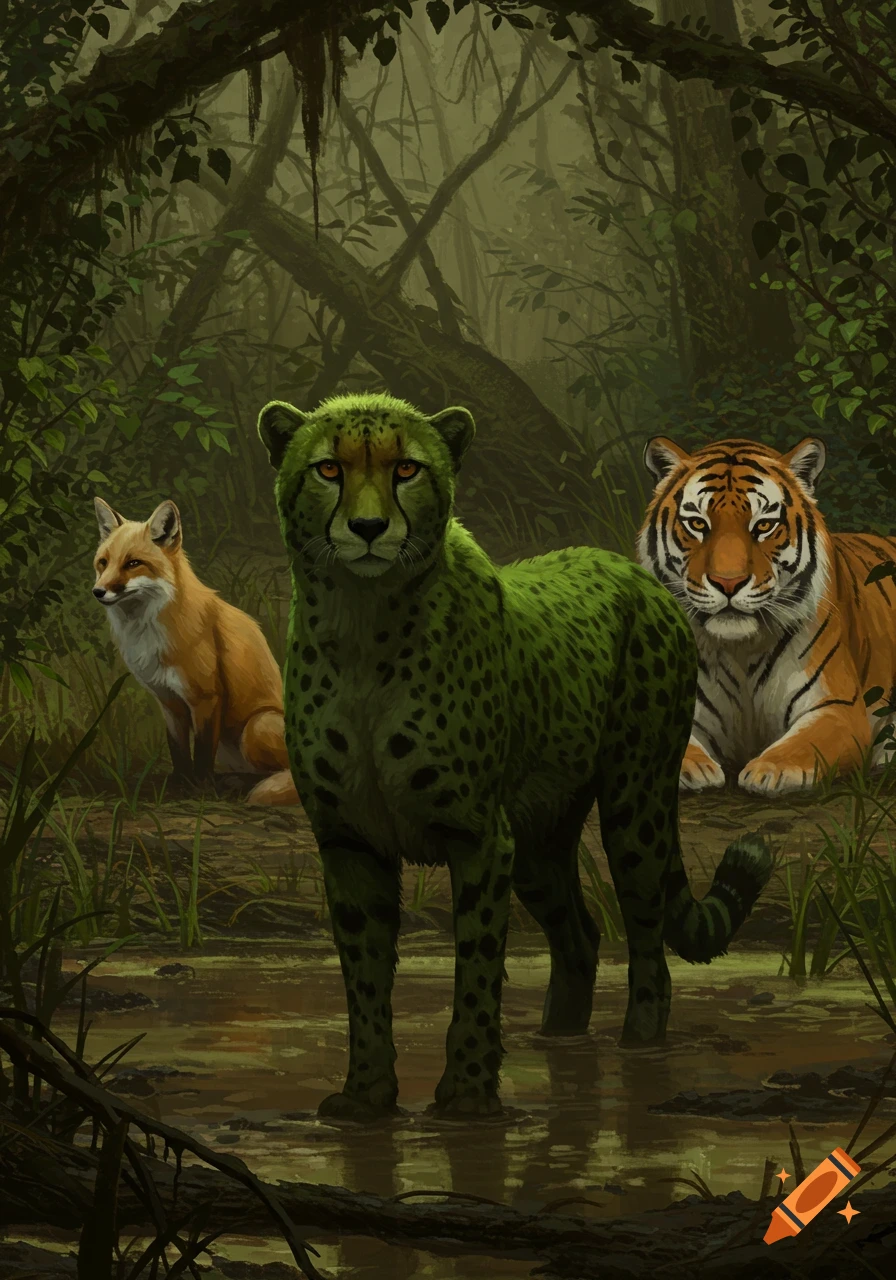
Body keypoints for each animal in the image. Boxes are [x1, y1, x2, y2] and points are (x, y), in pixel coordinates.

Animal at [92, 496, 299, 806]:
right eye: (103, 563)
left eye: (133, 563)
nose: (98, 591)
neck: (148, 635)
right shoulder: (168, 702)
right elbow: (178, 752)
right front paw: (180, 786)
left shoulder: (206, 697)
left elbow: (201, 754)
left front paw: (201, 791)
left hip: (255, 728)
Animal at [258, 391, 773, 1121]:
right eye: (329, 468)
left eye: (407, 469)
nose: (368, 527)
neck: (363, 627)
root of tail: (631, 571)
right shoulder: (349, 841)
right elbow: (363, 978)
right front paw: (366, 1094)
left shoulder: (477, 836)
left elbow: (476, 965)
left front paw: (469, 1092)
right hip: (536, 835)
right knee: (579, 934)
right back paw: (559, 1036)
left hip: (633, 802)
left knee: (646, 932)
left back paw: (640, 1041)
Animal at [636, 434, 896, 794]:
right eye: (698, 524)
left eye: (763, 526)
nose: (728, 582)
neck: (739, 650)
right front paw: (693, 769)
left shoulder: (836, 706)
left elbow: (806, 743)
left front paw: (769, 770)